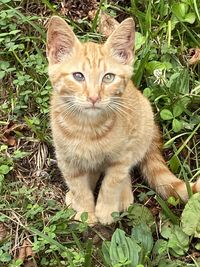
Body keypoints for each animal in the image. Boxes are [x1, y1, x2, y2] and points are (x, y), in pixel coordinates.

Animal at [45, 16, 200, 226]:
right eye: (78, 76)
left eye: (108, 77)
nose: (94, 97)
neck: (88, 128)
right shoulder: (66, 159)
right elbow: (79, 186)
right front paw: (86, 213)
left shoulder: (122, 156)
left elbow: (112, 182)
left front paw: (105, 211)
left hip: (140, 133)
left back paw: (124, 195)